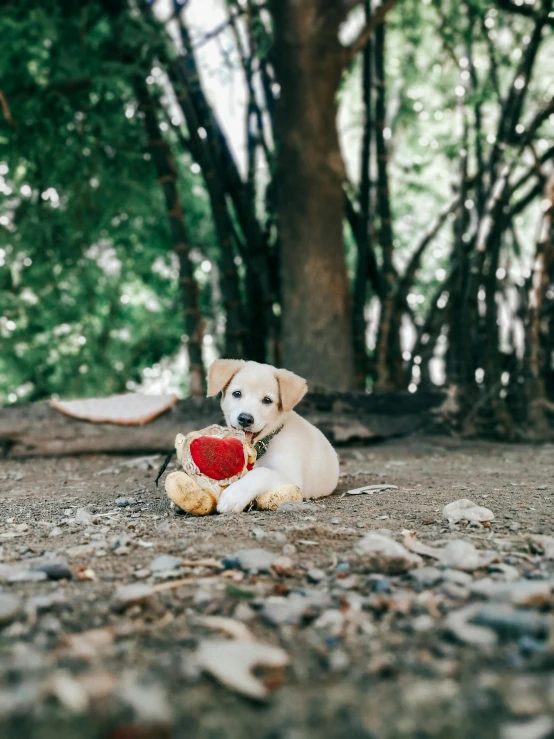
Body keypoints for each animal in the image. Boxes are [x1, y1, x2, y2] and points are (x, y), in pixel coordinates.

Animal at [206, 360, 338, 516]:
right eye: (237, 393)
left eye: (267, 400)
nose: (245, 419)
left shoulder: (292, 479)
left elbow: (262, 472)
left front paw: (234, 496)